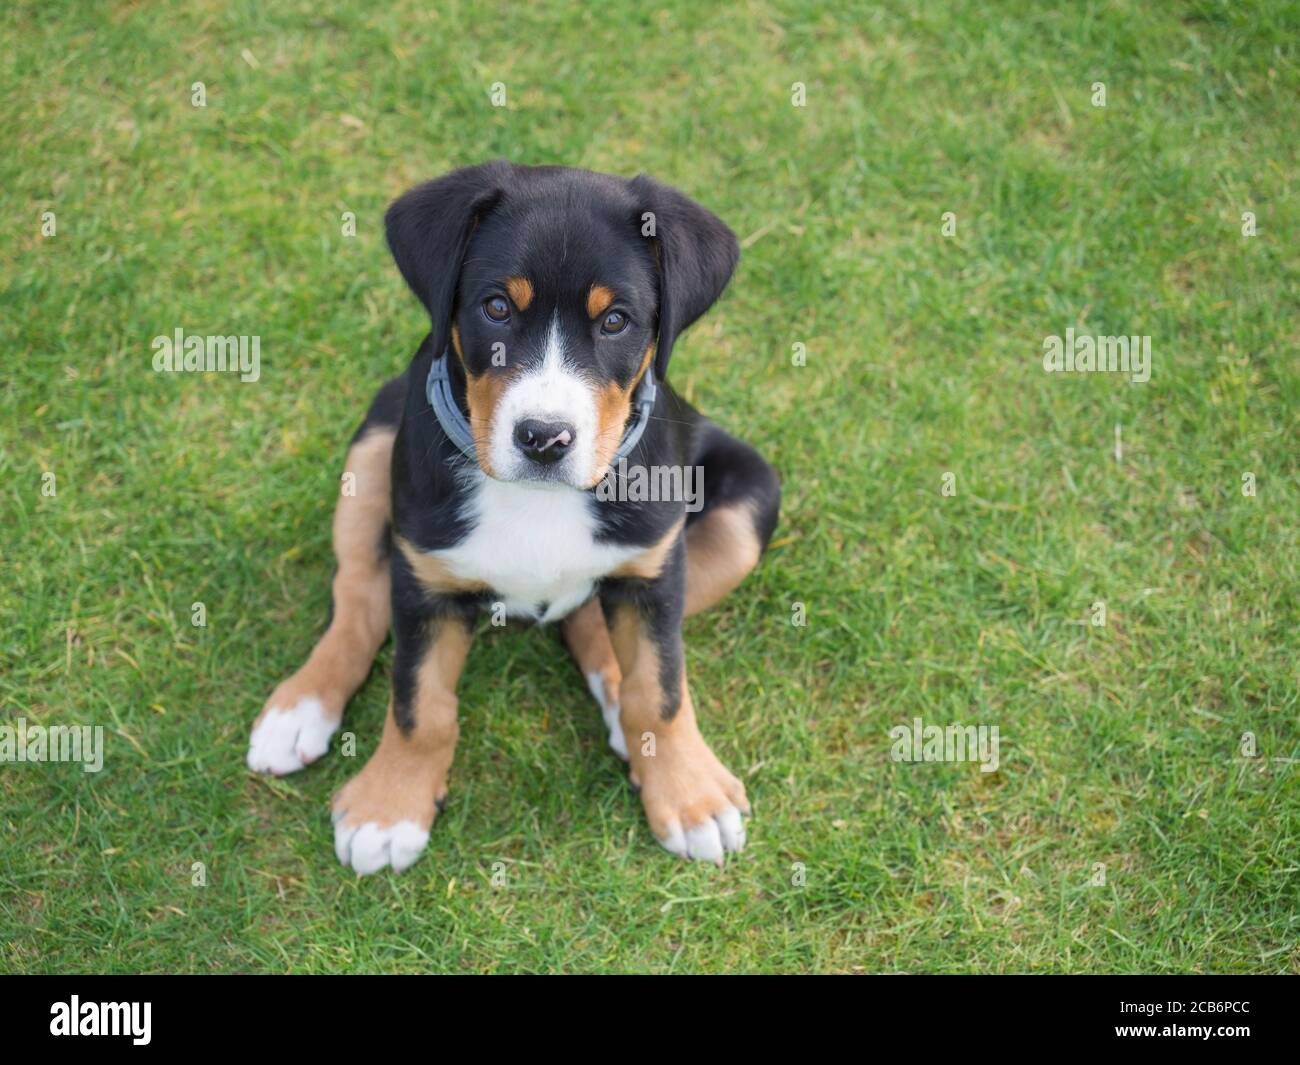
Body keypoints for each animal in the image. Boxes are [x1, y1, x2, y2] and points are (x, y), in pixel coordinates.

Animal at [246, 160, 774, 873]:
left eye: (616, 320)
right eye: (496, 308)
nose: (544, 438)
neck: (537, 498)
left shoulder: (656, 569)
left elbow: (660, 692)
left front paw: (690, 796)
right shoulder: (426, 579)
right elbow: (419, 703)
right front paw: (390, 806)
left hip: (751, 499)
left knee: (590, 622)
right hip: (376, 440)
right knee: (358, 594)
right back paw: (301, 708)